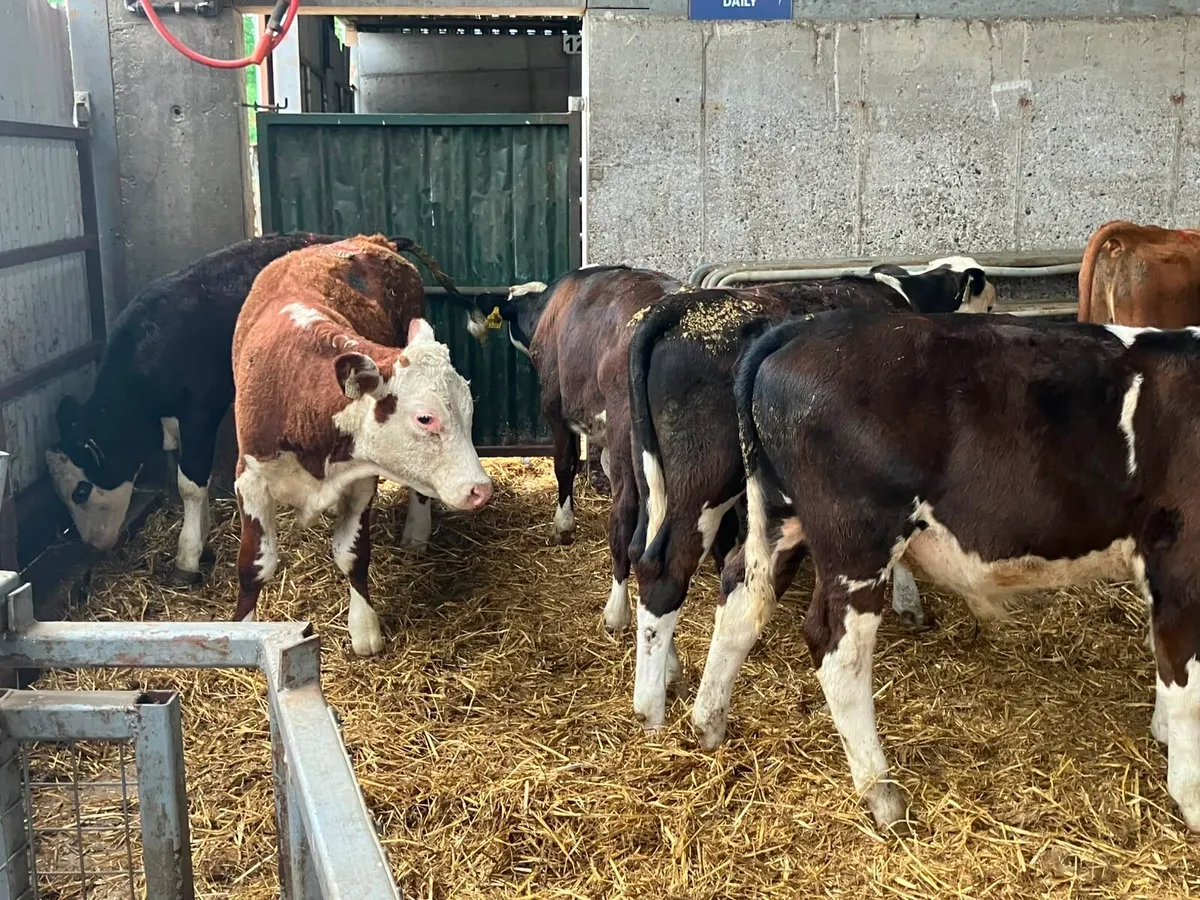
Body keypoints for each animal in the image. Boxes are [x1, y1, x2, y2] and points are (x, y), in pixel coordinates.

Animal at [46, 232, 482, 584]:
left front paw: (187, 556)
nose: (94, 545)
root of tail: (379, 239)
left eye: (81, 490)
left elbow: (190, 483)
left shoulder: (200, 411)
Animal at [231, 235, 492, 656]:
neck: (299, 388)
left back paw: (416, 531)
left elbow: (351, 554)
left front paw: (364, 628)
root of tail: (370, 239)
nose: (479, 489)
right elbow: (255, 566)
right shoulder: (250, 479)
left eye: (468, 410)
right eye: (425, 418)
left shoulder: (360, 480)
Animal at [471, 266, 682, 634]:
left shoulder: (555, 406)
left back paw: (616, 610)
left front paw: (564, 524)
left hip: (625, 425)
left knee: (625, 510)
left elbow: (564, 463)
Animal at [627, 259, 996, 729]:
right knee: (666, 568)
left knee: (641, 553)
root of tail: (679, 306)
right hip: (705, 480)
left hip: (652, 476)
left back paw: (669, 670)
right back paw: (651, 705)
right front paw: (909, 601)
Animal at [690, 309, 1200, 834]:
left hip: (779, 515)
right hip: (859, 539)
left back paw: (709, 721)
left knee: (742, 594)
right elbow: (1188, 687)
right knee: (837, 648)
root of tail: (798, 330)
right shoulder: (1182, 568)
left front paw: (1163, 731)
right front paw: (1191, 797)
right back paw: (883, 794)